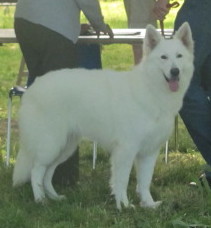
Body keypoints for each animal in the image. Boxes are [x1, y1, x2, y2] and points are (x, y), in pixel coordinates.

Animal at [13, 22, 194, 209]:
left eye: (179, 56)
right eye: (163, 57)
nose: (175, 71)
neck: (151, 89)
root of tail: (32, 87)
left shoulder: (149, 152)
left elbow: (144, 182)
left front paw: (148, 204)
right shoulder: (126, 150)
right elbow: (122, 180)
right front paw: (124, 206)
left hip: (65, 147)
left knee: (48, 173)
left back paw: (54, 198)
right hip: (51, 144)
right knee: (36, 171)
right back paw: (40, 200)